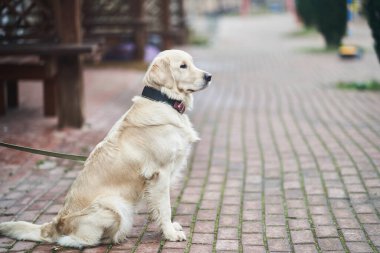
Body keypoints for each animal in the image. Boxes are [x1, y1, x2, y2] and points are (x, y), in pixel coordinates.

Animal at [0, 49, 211, 247]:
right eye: (183, 66)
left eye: (191, 63)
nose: (209, 76)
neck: (163, 99)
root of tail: (56, 223)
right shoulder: (160, 173)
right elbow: (165, 207)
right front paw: (170, 234)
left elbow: (159, 208)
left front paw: (168, 228)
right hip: (115, 206)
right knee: (73, 240)